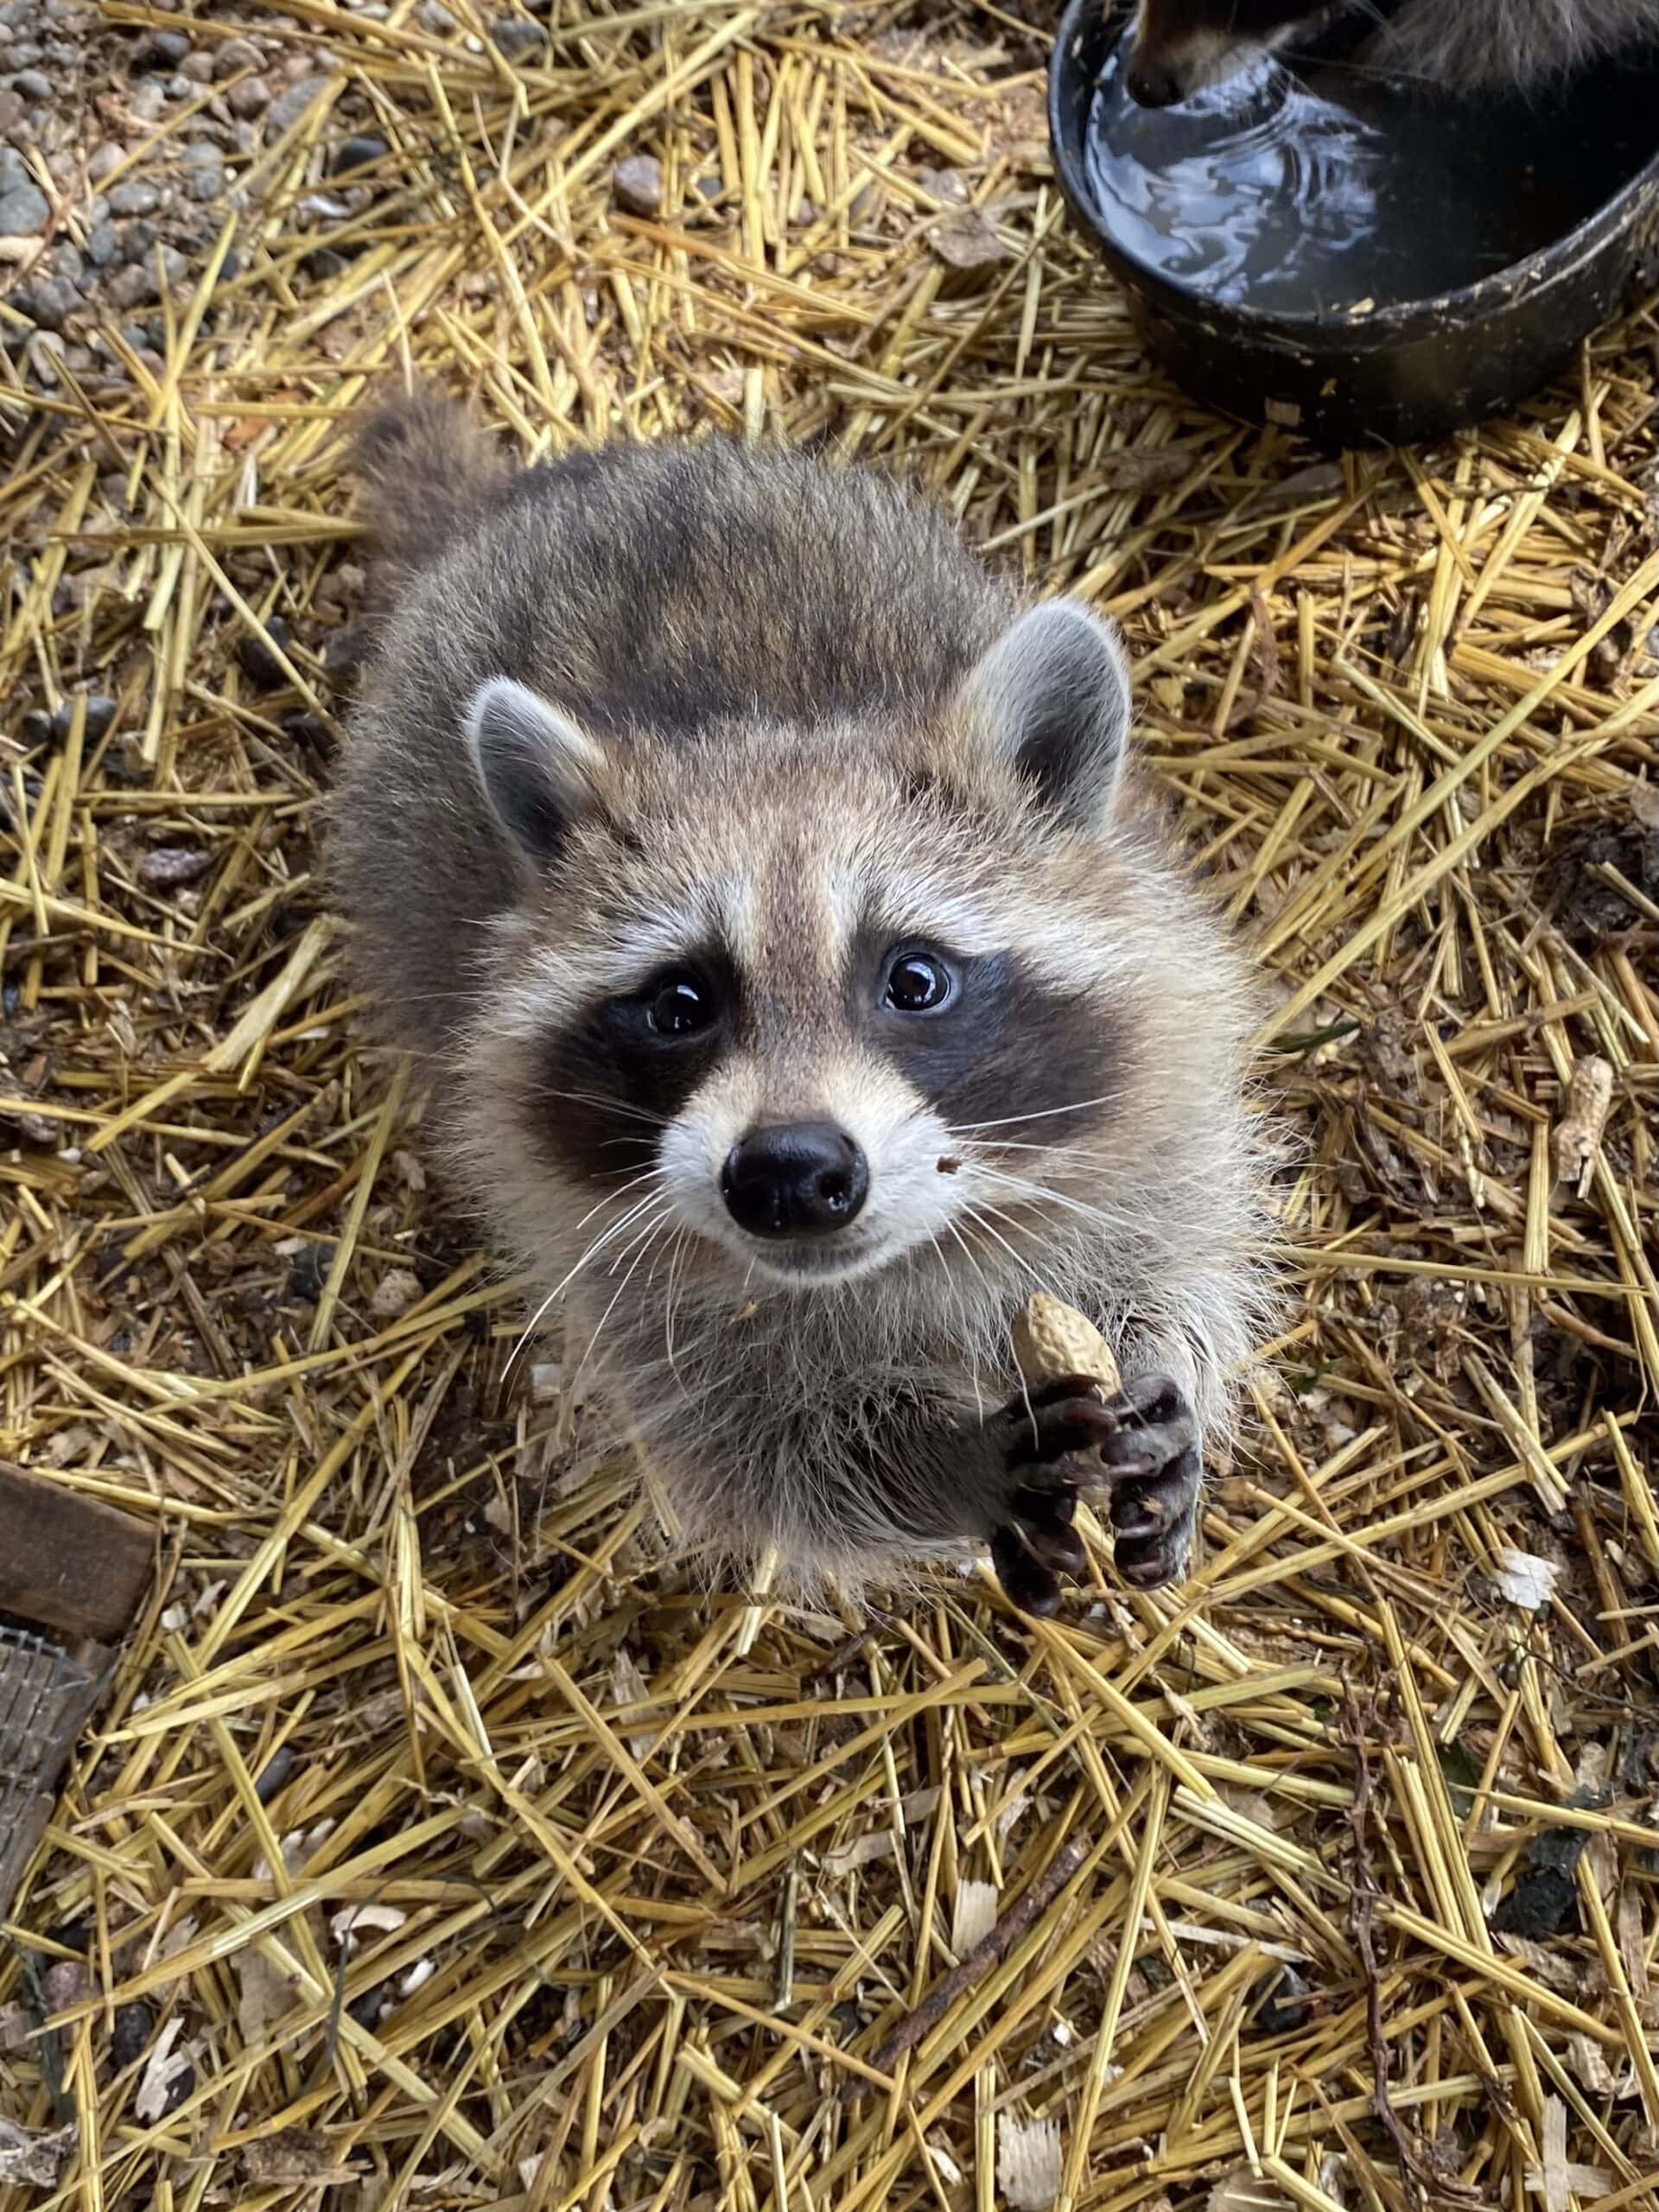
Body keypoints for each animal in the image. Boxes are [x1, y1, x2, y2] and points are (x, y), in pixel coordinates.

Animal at [328, 394, 1273, 1615]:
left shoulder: (1164, 1085)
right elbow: (776, 1451)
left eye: (914, 980)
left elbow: (1180, 1245)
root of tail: (551, 486)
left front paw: (1166, 1362)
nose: (789, 1172)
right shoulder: (622, 1280)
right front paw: (941, 1462)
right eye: (680, 1003)